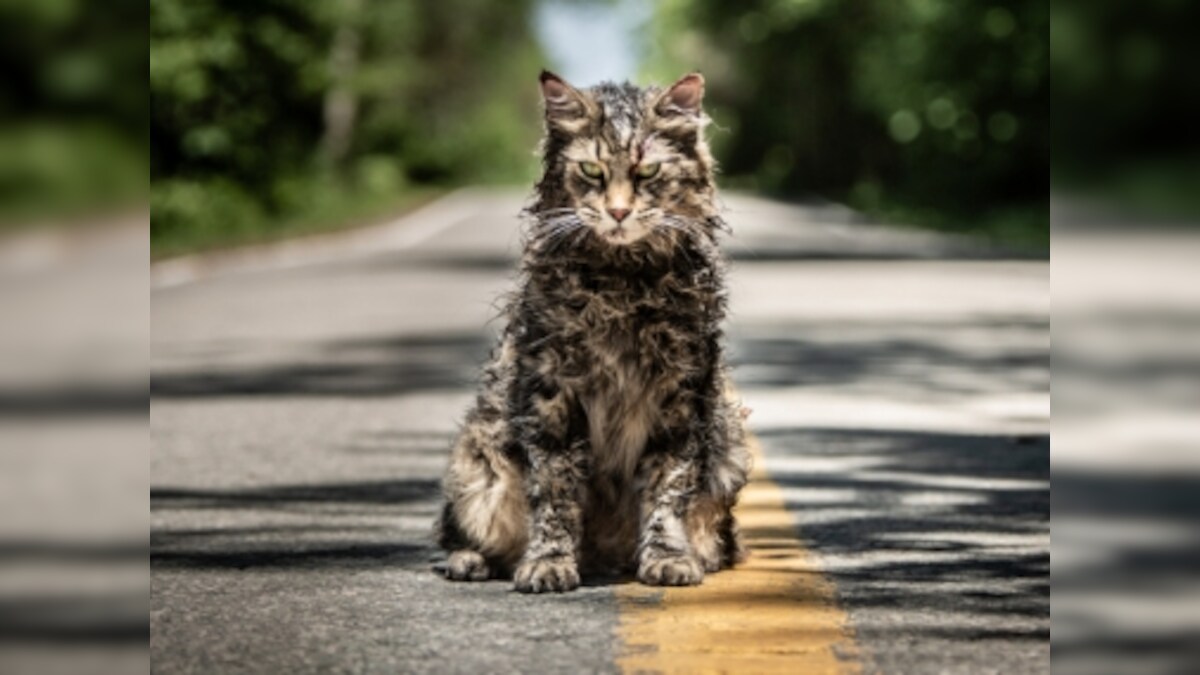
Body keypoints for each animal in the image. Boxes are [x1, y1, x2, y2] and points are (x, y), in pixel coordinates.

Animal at [432, 70, 748, 590]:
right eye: (592, 171)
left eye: (647, 173)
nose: (618, 212)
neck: (621, 283)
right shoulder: (552, 395)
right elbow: (555, 493)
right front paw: (549, 562)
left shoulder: (681, 396)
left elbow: (667, 488)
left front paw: (667, 557)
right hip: (477, 461)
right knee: (462, 532)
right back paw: (470, 561)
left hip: (730, 451)